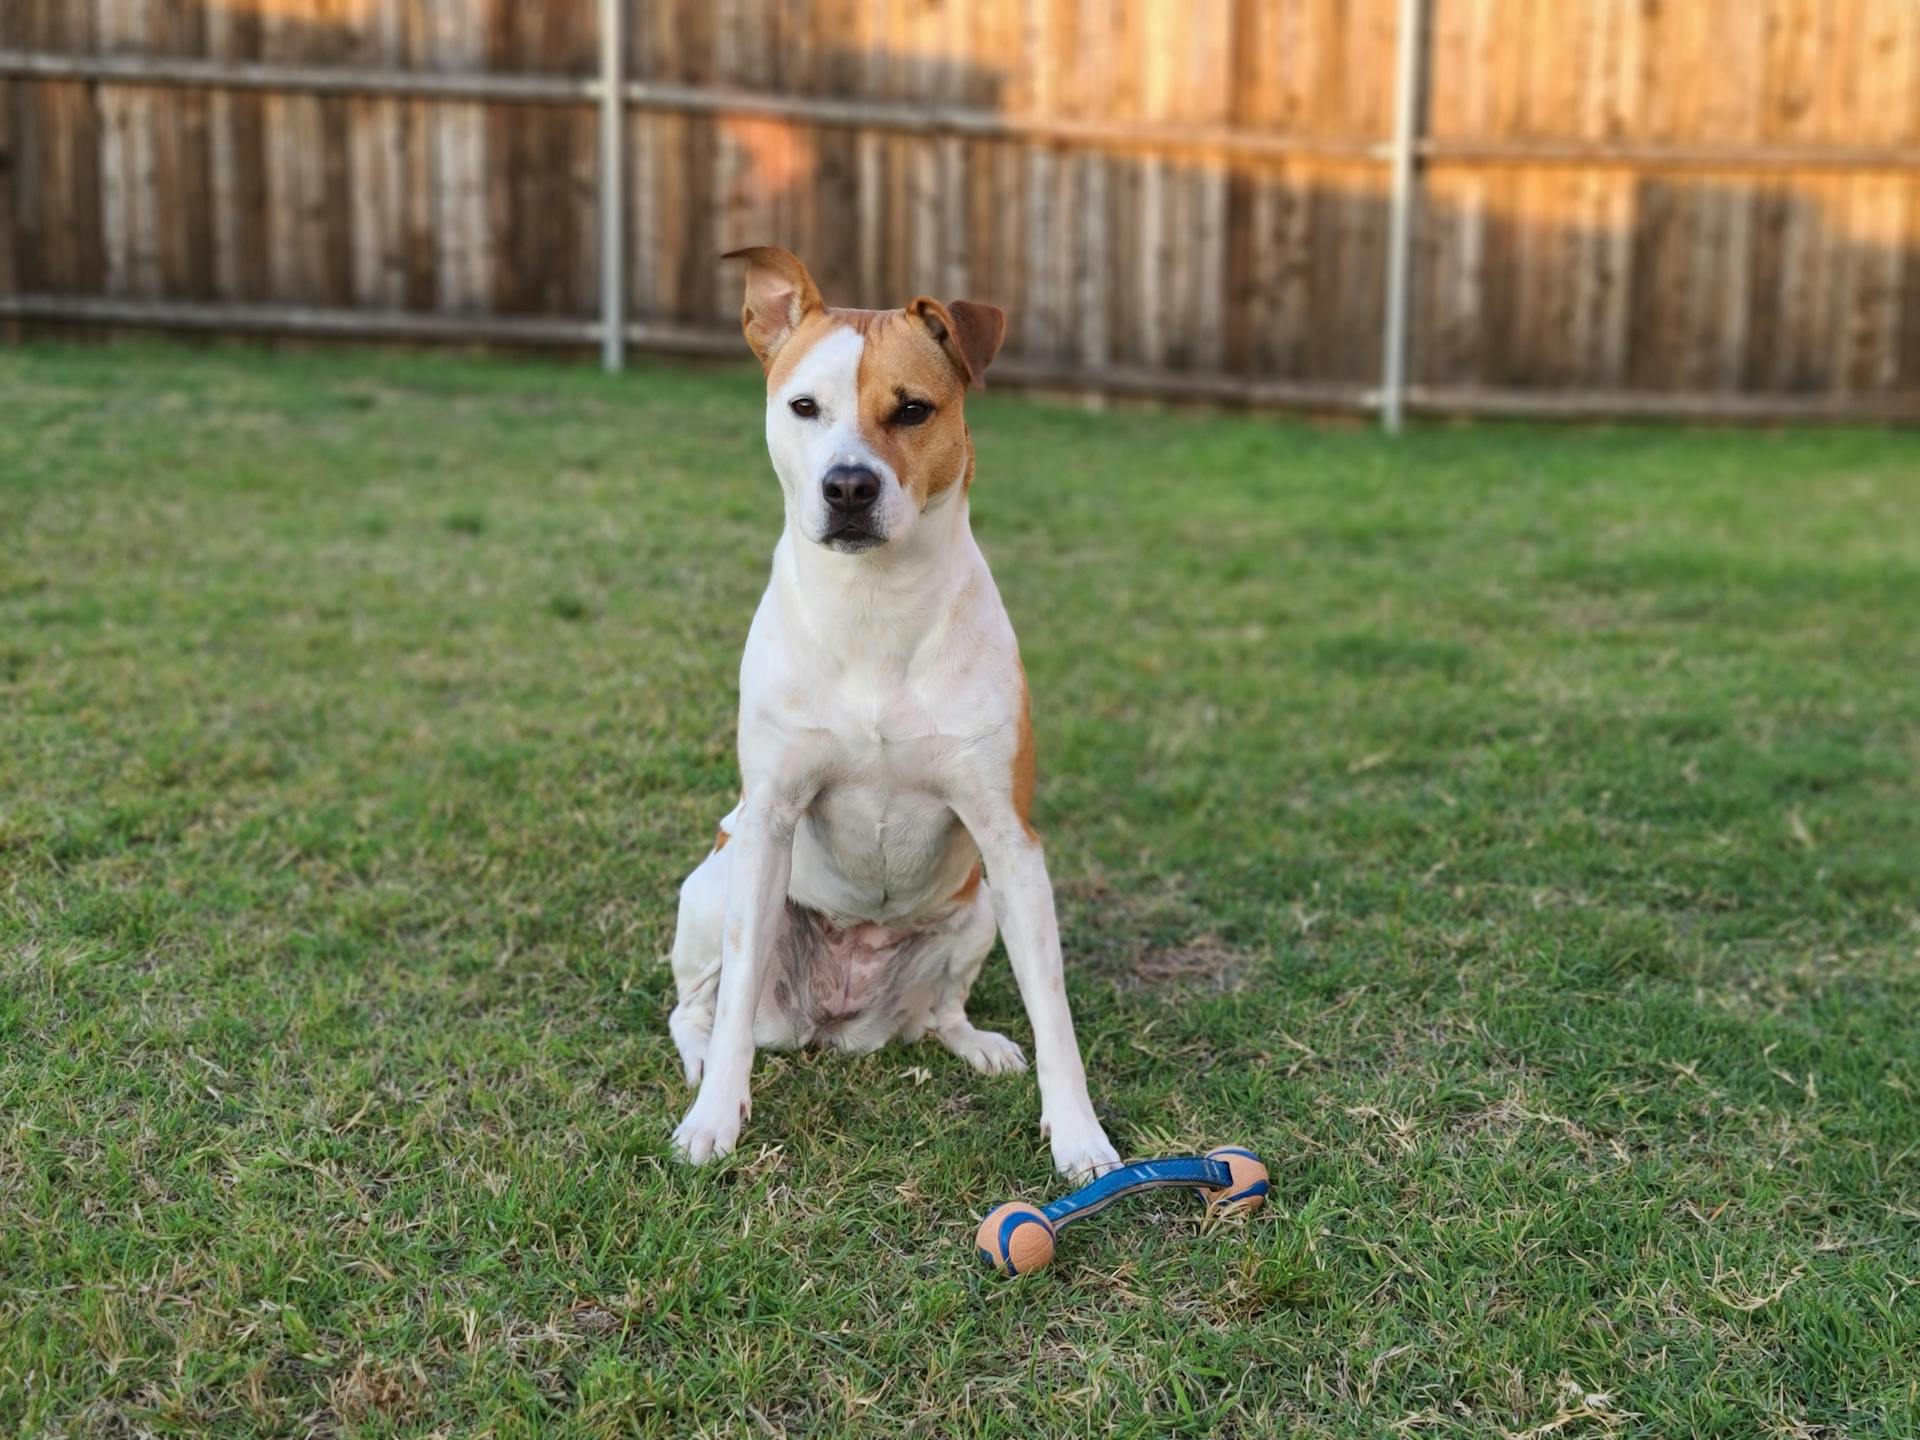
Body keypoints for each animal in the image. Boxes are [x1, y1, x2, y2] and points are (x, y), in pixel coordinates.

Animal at [664, 247, 1121, 1182]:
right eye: (804, 406)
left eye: (913, 409)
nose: (848, 485)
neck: (875, 605)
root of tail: (839, 1023)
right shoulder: (769, 820)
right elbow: (729, 1012)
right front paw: (716, 1121)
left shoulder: (1010, 841)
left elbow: (1054, 1012)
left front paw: (1080, 1137)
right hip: (716, 885)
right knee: (699, 1009)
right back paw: (698, 1071)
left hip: (976, 908)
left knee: (937, 1012)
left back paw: (977, 1043)